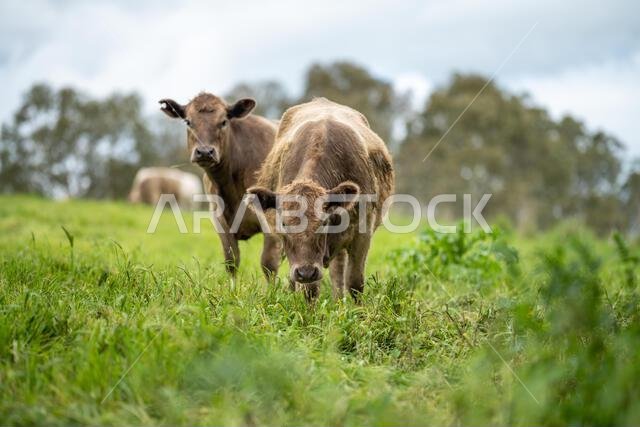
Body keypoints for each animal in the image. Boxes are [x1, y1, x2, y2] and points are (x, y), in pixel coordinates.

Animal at [159, 93, 281, 278]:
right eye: (188, 122)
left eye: (223, 122)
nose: (204, 152)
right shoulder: (219, 218)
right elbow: (231, 261)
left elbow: (269, 263)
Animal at [247, 98, 394, 301]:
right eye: (284, 224)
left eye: (323, 222)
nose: (306, 272)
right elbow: (310, 290)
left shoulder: (362, 235)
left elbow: (355, 283)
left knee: (338, 271)